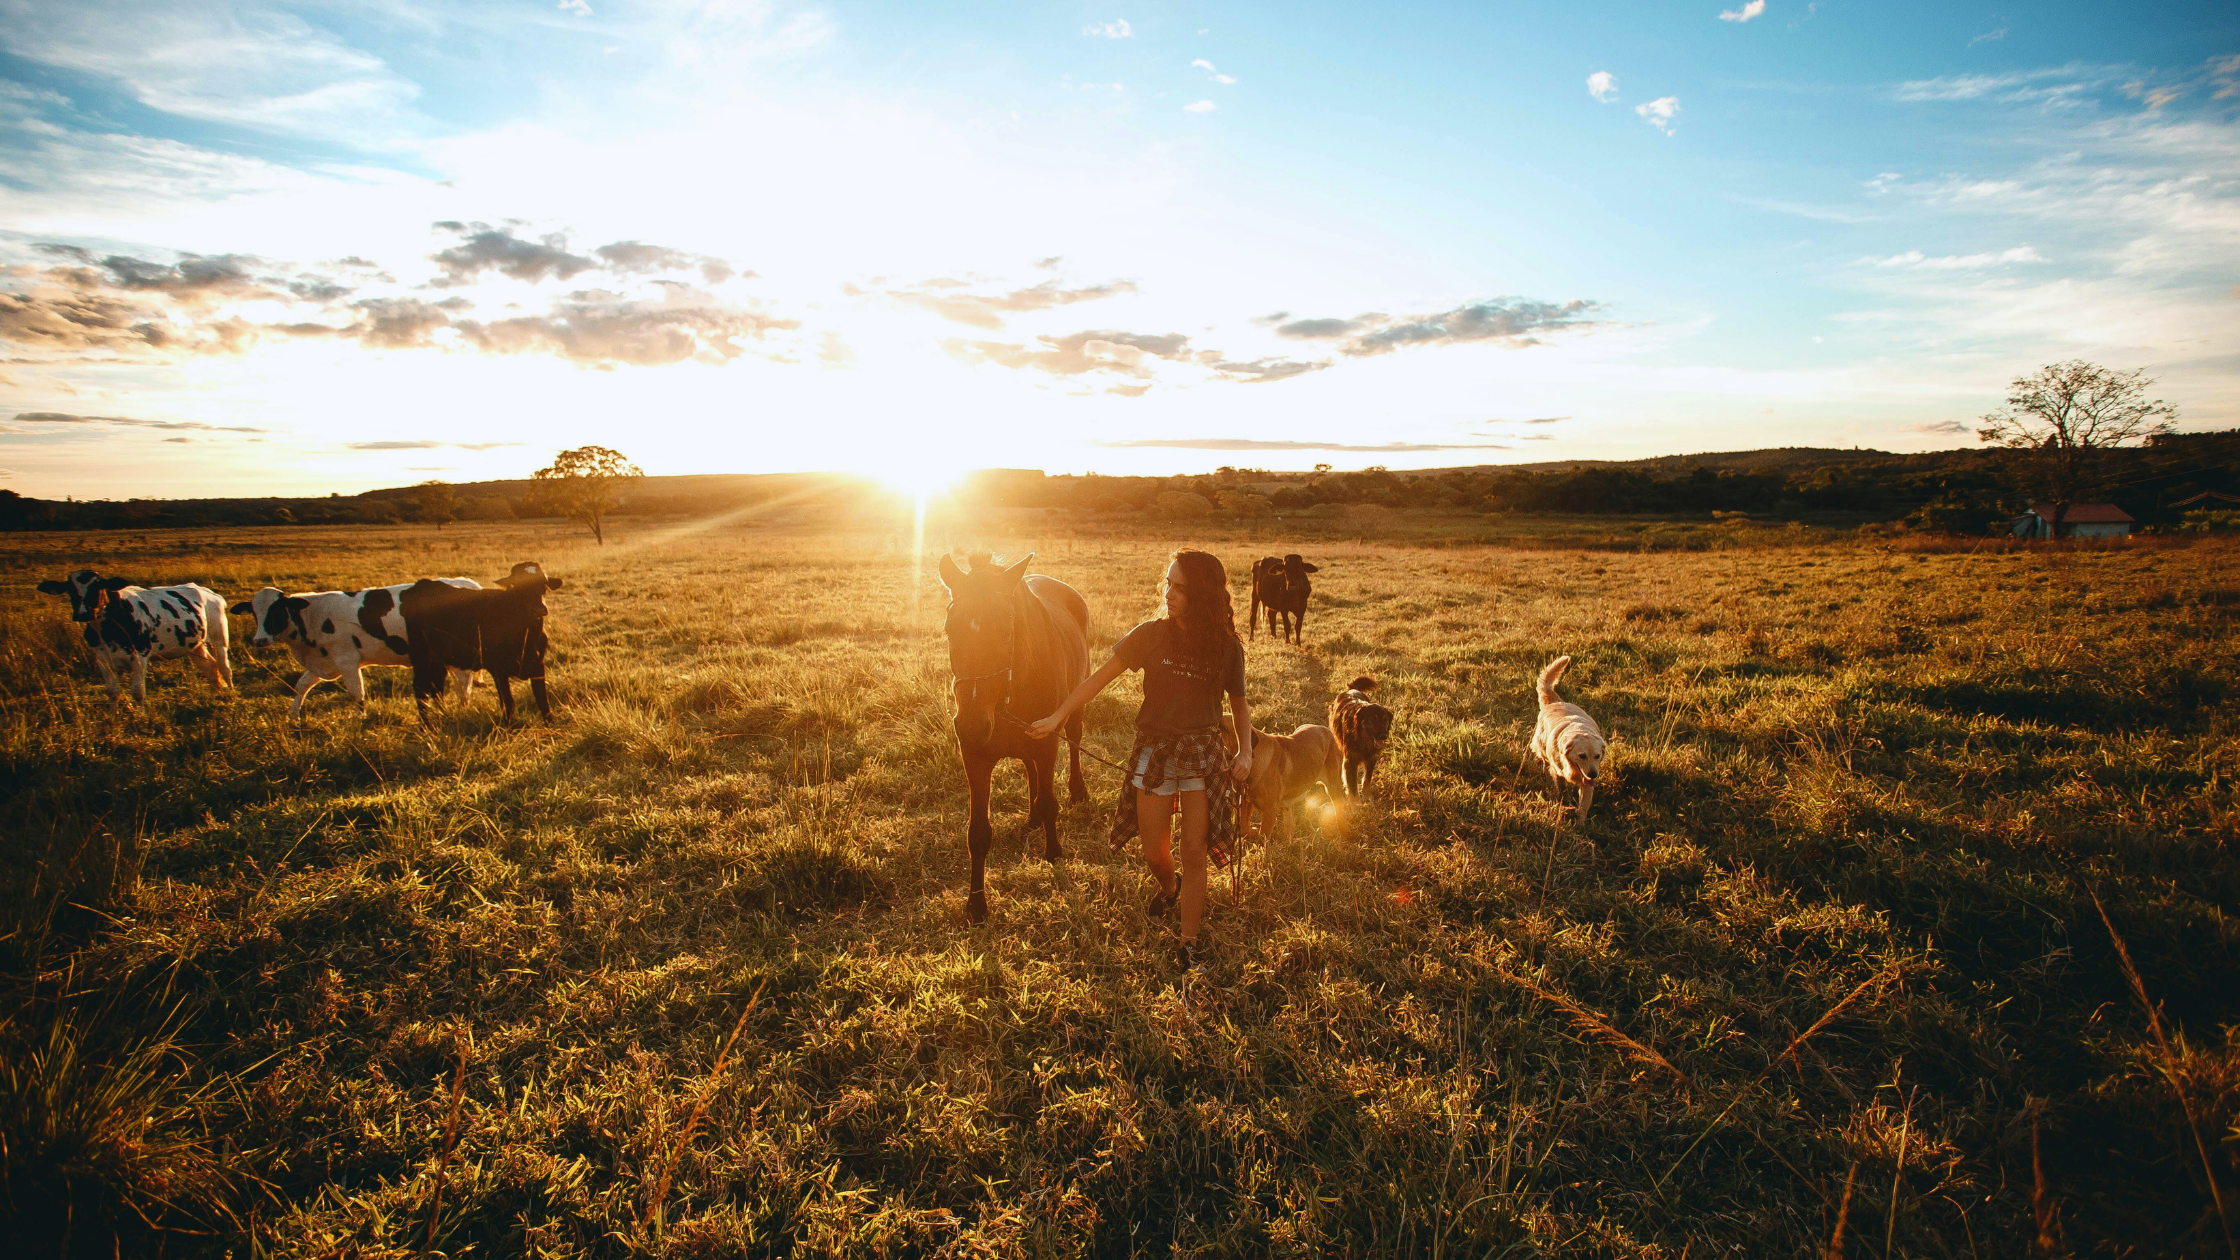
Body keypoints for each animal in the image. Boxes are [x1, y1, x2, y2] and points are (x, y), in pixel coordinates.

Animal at [38, 567, 234, 695]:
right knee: (210, 668)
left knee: (224, 667)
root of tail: (209, 592)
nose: (83, 613)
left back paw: (230, 695)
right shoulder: (102, 659)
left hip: (220, 640)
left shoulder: (140, 657)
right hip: (195, 645)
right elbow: (113, 692)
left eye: (97, 587)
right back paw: (214, 696)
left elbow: (138, 691)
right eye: (70, 589)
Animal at [231, 578, 481, 717]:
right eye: (254, 613)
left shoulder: (347, 660)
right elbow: (301, 686)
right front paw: (292, 715)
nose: (259, 640)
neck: (312, 616)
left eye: (277, 611)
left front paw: (361, 719)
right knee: (463, 681)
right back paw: (463, 706)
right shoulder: (322, 661)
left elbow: (356, 692)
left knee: (463, 681)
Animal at [403, 558, 564, 717]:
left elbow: (544, 704)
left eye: (544, 583)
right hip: (421, 658)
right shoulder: (498, 670)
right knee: (421, 690)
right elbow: (508, 704)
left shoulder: (538, 667)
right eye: (517, 585)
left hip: (437, 660)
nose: (539, 609)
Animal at [936, 549, 1093, 923]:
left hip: (1074, 710)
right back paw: (1032, 818)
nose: (972, 725)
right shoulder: (975, 757)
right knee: (1028, 767)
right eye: (950, 630)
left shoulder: (1047, 742)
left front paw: (1054, 853)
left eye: (1006, 631)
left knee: (1075, 742)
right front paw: (976, 904)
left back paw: (1076, 791)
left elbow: (1050, 803)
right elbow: (978, 833)